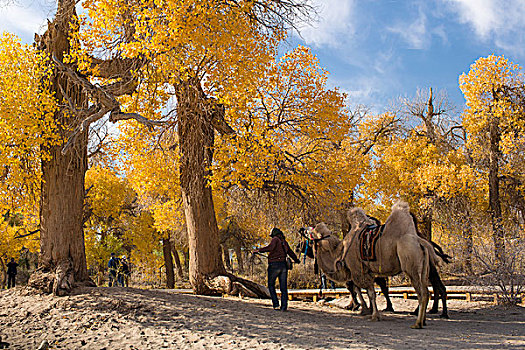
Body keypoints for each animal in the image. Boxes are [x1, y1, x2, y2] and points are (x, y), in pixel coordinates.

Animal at [316, 201, 434, 330]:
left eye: (314, 233)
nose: (305, 229)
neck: (341, 250)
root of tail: (420, 243)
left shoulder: (358, 270)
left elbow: (369, 293)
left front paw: (373, 315)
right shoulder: (367, 271)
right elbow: (367, 292)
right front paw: (368, 311)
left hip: (411, 265)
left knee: (421, 293)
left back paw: (417, 323)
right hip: (424, 269)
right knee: (426, 291)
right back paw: (423, 321)